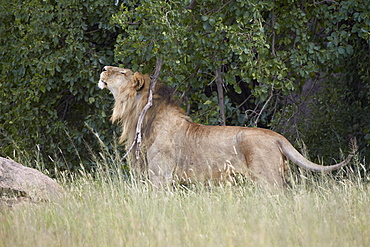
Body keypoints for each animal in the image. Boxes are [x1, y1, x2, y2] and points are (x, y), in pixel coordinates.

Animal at [98, 65, 352, 189]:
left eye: (122, 72)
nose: (103, 68)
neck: (140, 116)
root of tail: (277, 136)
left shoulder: (160, 175)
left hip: (268, 179)